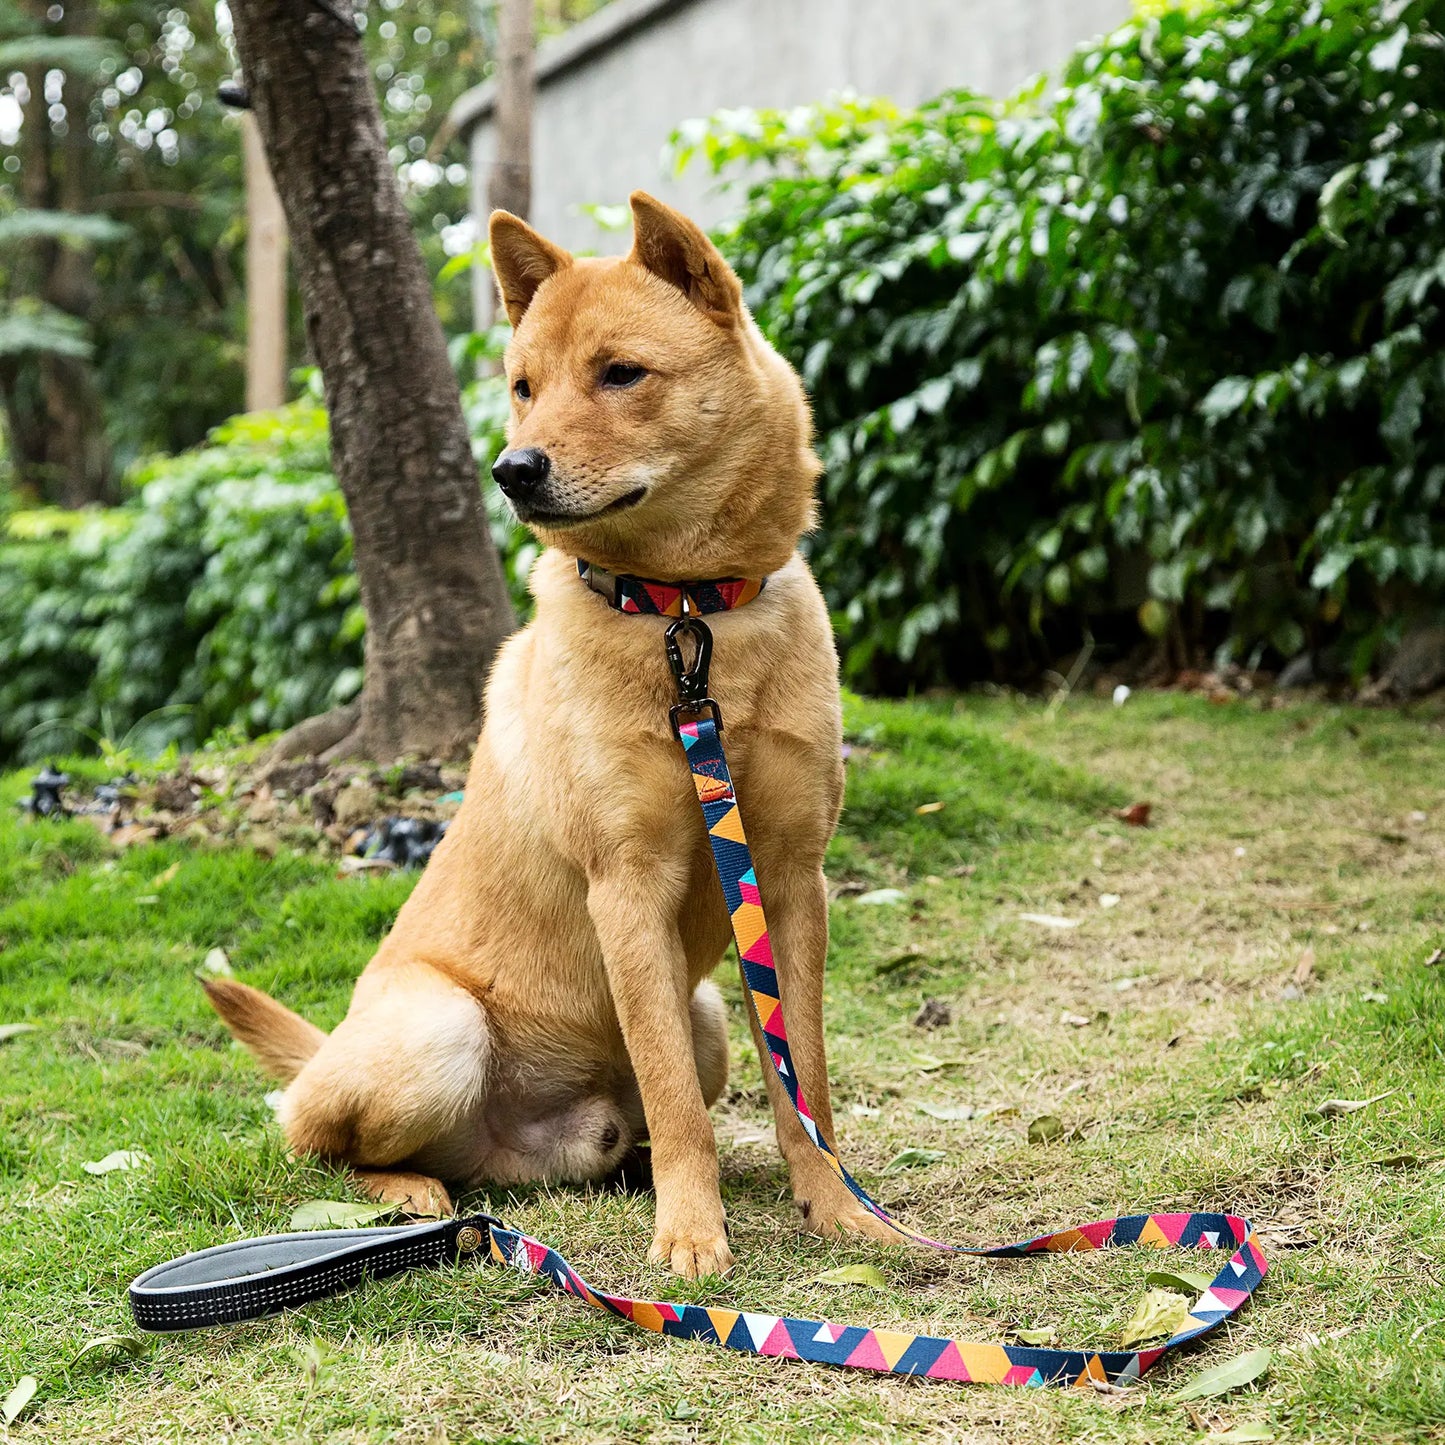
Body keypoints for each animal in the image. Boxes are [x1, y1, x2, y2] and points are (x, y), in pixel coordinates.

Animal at [203, 189, 890, 1277]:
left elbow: (804, 1079)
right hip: (437, 1032)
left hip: (705, 1015)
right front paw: (691, 1232)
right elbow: (679, 1099)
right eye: (522, 387)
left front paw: (834, 1203)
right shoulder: (627, 888)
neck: (685, 619)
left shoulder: (787, 878)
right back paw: (410, 1192)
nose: (511, 469)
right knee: (312, 1136)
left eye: (620, 373)